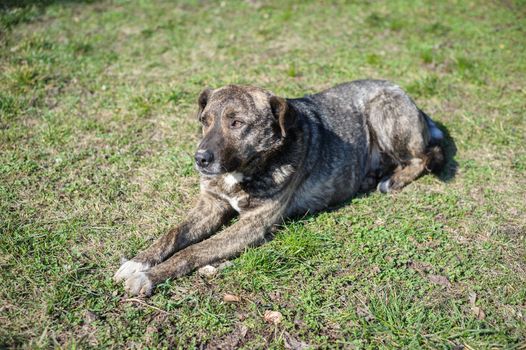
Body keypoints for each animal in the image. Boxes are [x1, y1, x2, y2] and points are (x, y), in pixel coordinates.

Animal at [115, 79, 446, 296]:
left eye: (237, 123)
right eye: (205, 120)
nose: (200, 159)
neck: (246, 169)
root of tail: (410, 98)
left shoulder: (253, 224)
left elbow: (193, 251)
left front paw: (149, 277)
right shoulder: (211, 204)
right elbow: (174, 234)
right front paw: (138, 262)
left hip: (384, 113)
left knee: (429, 155)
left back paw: (394, 179)